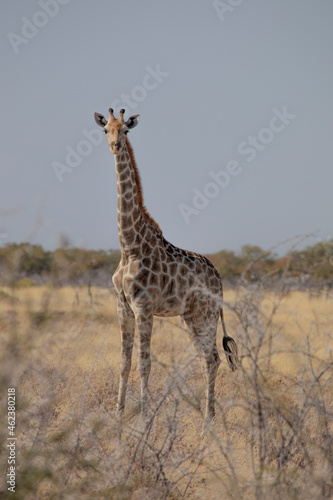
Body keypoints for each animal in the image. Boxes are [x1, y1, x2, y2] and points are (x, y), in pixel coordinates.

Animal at [93, 107, 239, 424]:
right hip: (190, 316)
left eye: (126, 130)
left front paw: (145, 418)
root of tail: (220, 280)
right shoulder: (122, 305)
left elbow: (143, 363)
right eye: (106, 130)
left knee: (212, 359)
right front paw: (118, 416)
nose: (115, 145)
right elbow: (124, 362)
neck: (129, 246)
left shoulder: (144, 306)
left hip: (206, 315)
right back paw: (208, 418)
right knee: (211, 358)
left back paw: (207, 421)